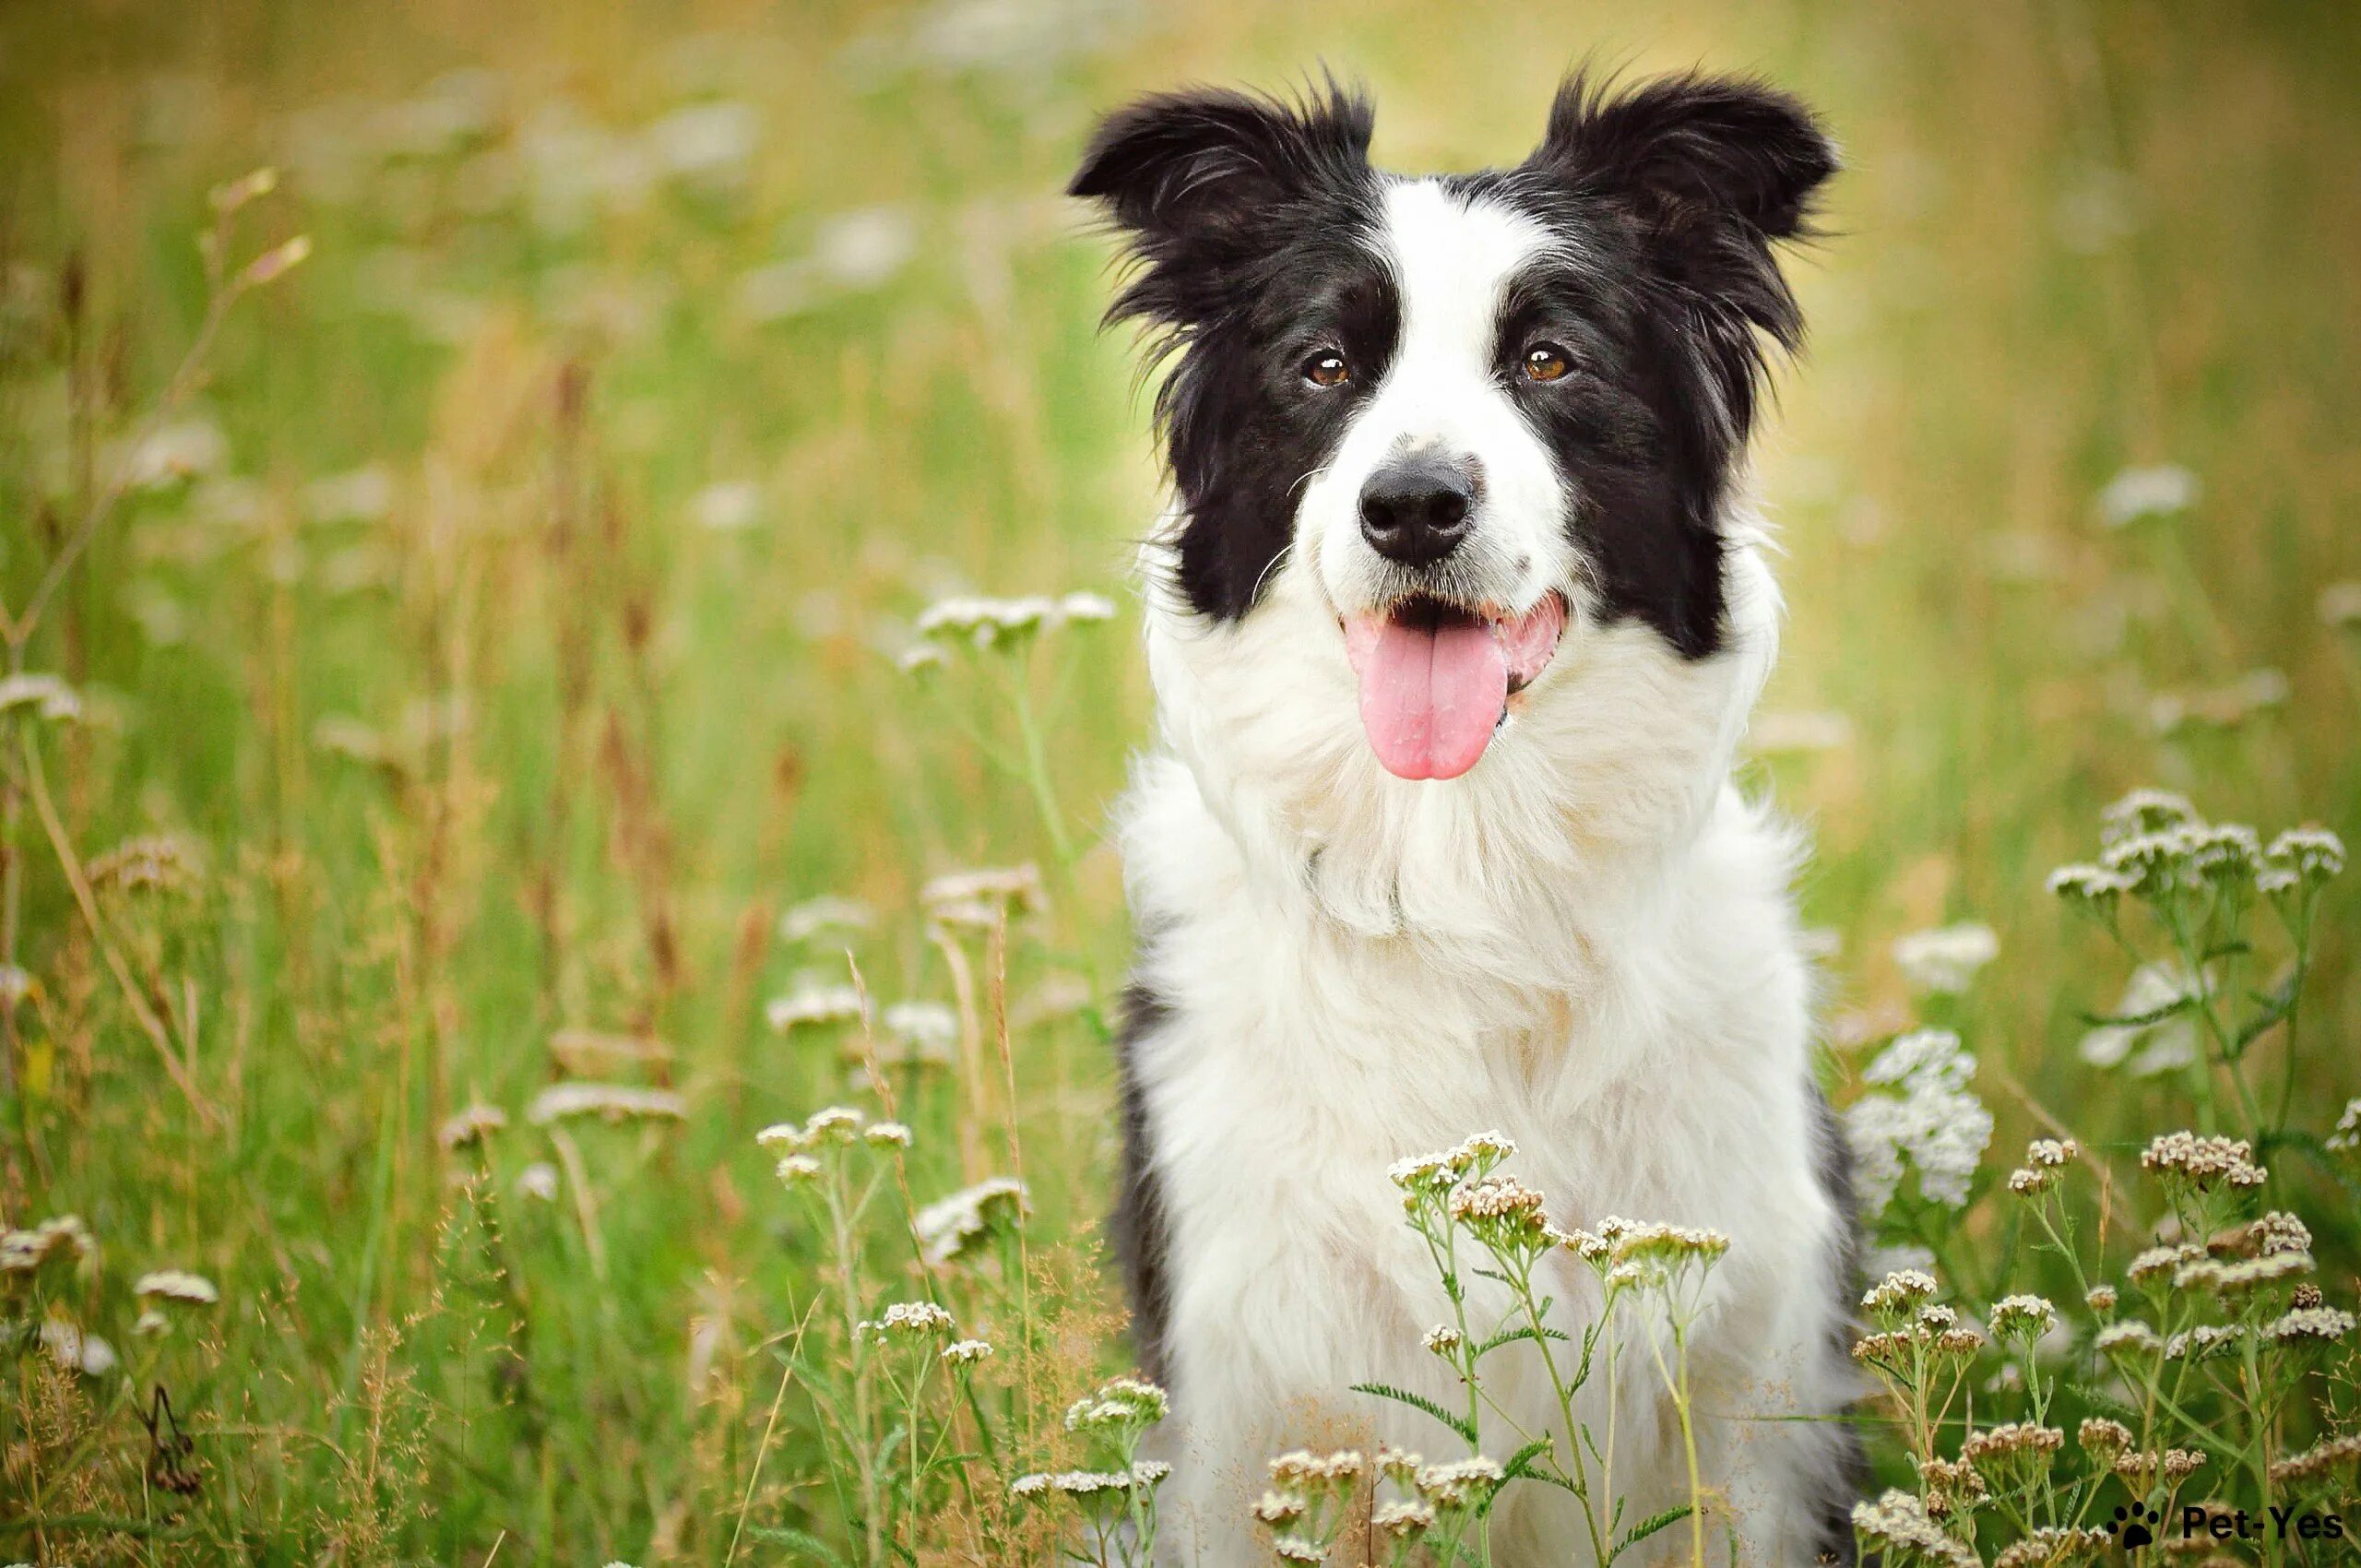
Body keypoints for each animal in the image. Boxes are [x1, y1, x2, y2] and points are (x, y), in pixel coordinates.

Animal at [1072, 66, 1860, 1558]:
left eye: (1550, 361)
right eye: (1324, 367)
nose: (1414, 504)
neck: (1465, 877)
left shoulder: (1755, 1401)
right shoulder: (1242, 1398)